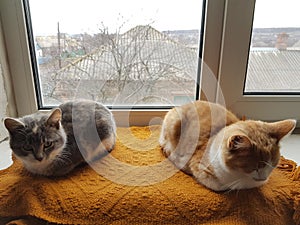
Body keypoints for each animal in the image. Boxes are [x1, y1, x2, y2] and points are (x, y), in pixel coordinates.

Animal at [159, 101, 296, 191]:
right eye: (255, 167)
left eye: (273, 165)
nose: (263, 178)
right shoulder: (199, 166)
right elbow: (219, 186)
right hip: (175, 122)